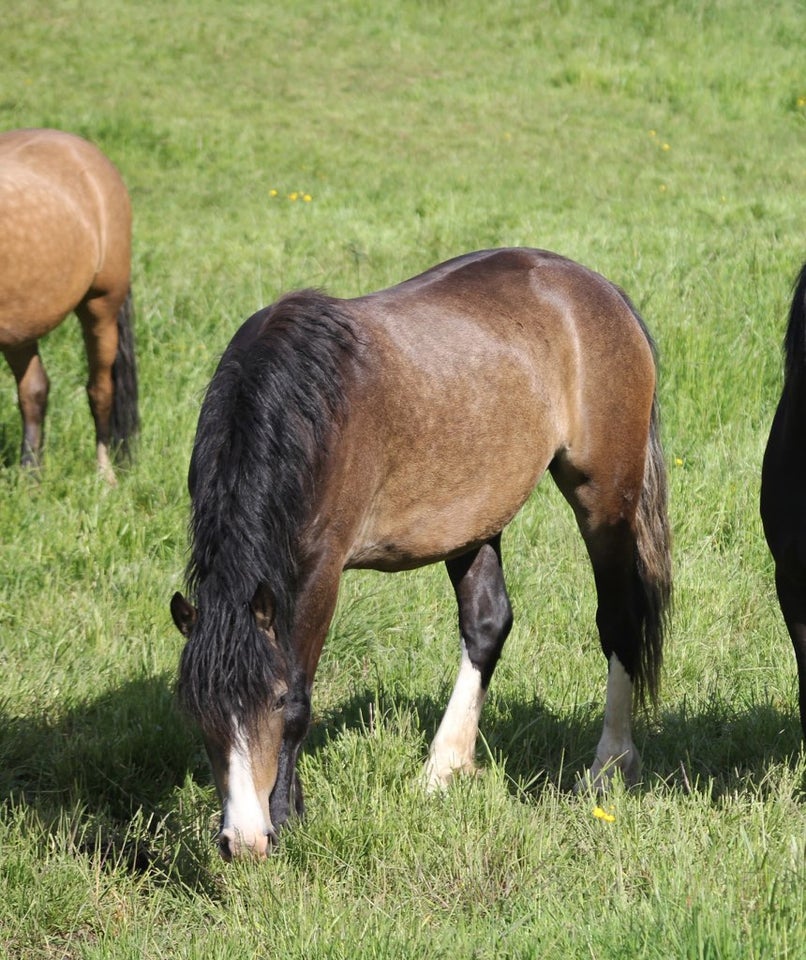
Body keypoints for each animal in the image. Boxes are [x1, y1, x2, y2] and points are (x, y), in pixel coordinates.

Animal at [0, 127, 138, 480]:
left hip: (100, 307)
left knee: (100, 390)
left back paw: (105, 476)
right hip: (21, 324)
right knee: (34, 390)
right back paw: (31, 476)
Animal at [172, 248, 676, 864]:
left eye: (268, 700)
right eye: (197, 713)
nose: (241, 842)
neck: (302, 408)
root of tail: (598, 289)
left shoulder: (319, 573)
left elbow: (300, 700)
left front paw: (286, 818)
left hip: (604, 496)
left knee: (619, 620)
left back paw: (609, 766)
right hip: (473, 518)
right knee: (488, 624)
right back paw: (445, 767)